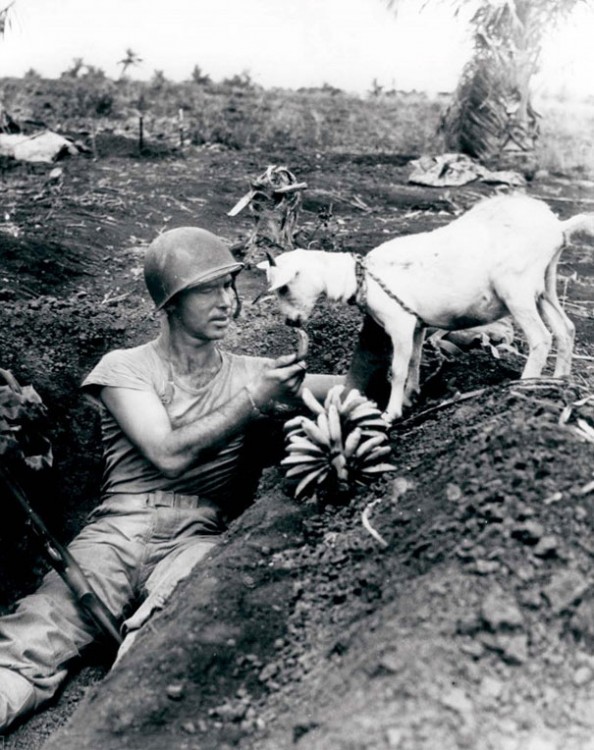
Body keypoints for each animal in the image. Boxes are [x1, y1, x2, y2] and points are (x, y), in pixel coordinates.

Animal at [258, 194, 592, 424]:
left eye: (284, 287)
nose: (290, 322)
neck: (360, 277)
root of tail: (557, 227)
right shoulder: (417, 325)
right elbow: (414, 362)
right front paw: (410, 397)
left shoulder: (400, 323)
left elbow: (397, 369)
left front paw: (391, 412)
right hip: (544, 285)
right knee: (566, 329)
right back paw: (557, 382)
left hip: (517, 289)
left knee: (541, 337)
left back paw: (525, 385)